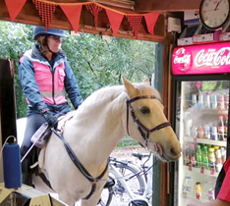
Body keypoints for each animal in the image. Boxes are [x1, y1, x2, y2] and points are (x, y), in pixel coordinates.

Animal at [17, 77, 181, 206]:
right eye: (145, 109)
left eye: (161, 107)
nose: (175, 149)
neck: (84, 148)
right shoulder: (65, 197)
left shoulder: (92, 198)